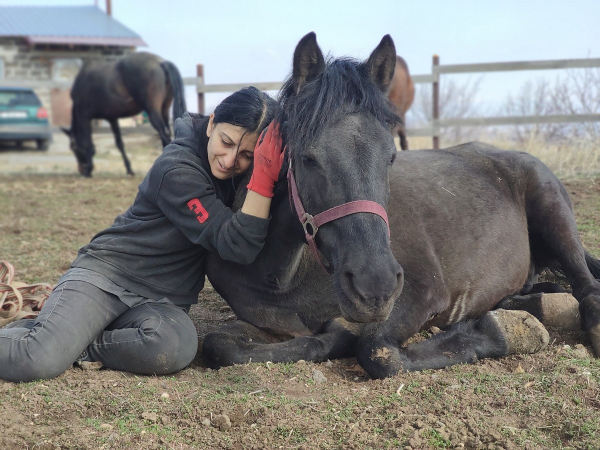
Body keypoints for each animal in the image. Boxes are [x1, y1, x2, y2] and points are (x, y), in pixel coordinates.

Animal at [203, 31, 600, 378]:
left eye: (391, 157)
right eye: (307, 158)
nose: (373, 285)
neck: (282, 276)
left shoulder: (421, 295)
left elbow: (376, 351)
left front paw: (500, 330)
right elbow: (220, 344)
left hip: (554, 212)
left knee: (586, 286)